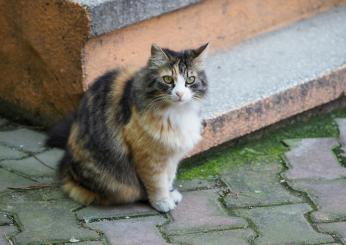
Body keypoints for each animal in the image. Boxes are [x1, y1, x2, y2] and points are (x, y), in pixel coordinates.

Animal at [45, 43, 208, 212]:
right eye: (168, 79)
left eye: (190, 80)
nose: (180, 94)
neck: (177, 113)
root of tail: (66, 168)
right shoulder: (148, 155)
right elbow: (157, 183)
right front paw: (162, 202)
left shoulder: (171, 154)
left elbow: (169, 178)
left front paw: (170, 194)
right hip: (117, 184)